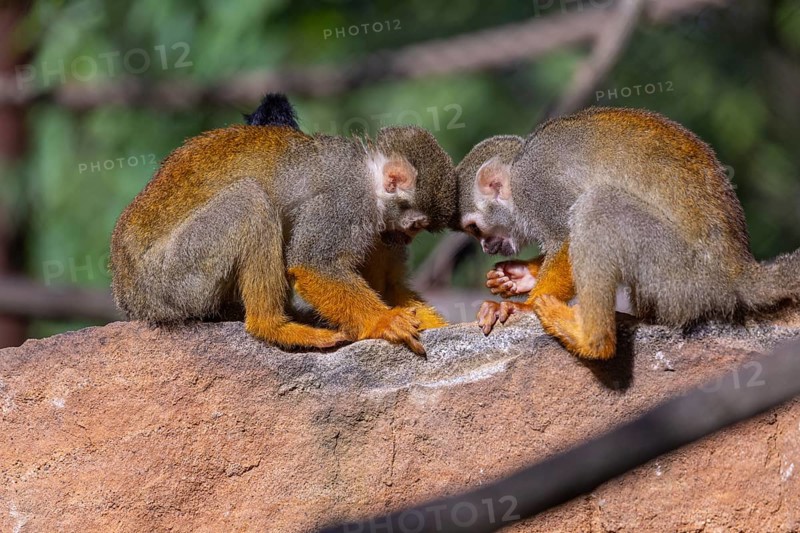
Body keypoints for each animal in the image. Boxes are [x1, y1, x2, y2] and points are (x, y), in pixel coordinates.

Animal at [110, 93, 454, 355]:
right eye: (414, 227)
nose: (404, 241)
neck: (369, 177)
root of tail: (129, 296)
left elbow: (386, 285)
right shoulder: (345, 201)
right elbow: (313, 265)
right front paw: (383, 323)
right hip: (173, 276)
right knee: (250, 201)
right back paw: (271, 326)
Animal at [454, 107, 800, 360]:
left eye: (474, 228)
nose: (486, 247)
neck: (517, 168)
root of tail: (739, 270)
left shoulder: (536, 186)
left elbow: (564, 238)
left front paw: (523, 305)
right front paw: (520, 275)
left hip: (684, 275)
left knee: (598, 204)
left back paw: (591, 339)